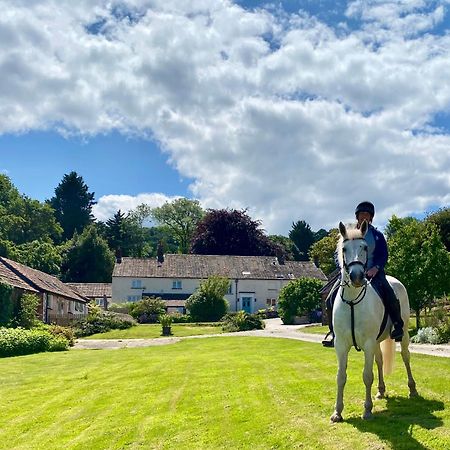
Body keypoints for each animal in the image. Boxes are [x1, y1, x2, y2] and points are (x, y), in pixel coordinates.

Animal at [328, 221, 416, 422]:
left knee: (405, 357)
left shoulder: (367, 343)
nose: (357, 277)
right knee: (380, 361)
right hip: (376, 342)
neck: (353, 301)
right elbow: (340, 376)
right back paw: (381, 391)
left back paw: (412, 389)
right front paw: (337, 412)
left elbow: (367, 375)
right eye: (344, 249)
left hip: (403, 334)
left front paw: (367, 410)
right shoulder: (341, 345)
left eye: (365, 247)